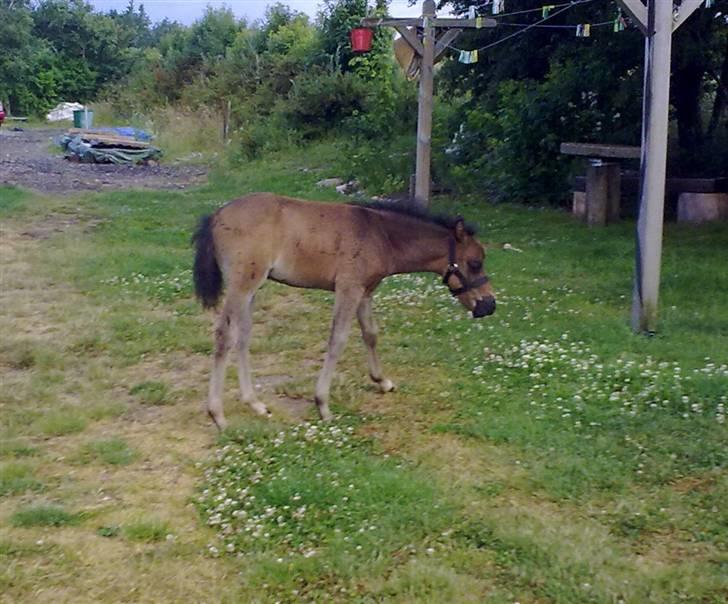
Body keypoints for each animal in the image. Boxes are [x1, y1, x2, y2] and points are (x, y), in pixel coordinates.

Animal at [191, 193, 494, 430]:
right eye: (475, 262)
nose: (489, 306)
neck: (381, 235)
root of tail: (216, 216)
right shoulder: (348, 288)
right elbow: (337, 340)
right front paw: (323, 405)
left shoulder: (365, 291)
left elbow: (370, 334)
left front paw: (382, 382)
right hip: (242, 285)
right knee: (224, 335)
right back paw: (217, 415)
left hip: (252, 289)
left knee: (243, 337)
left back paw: (255, 403)